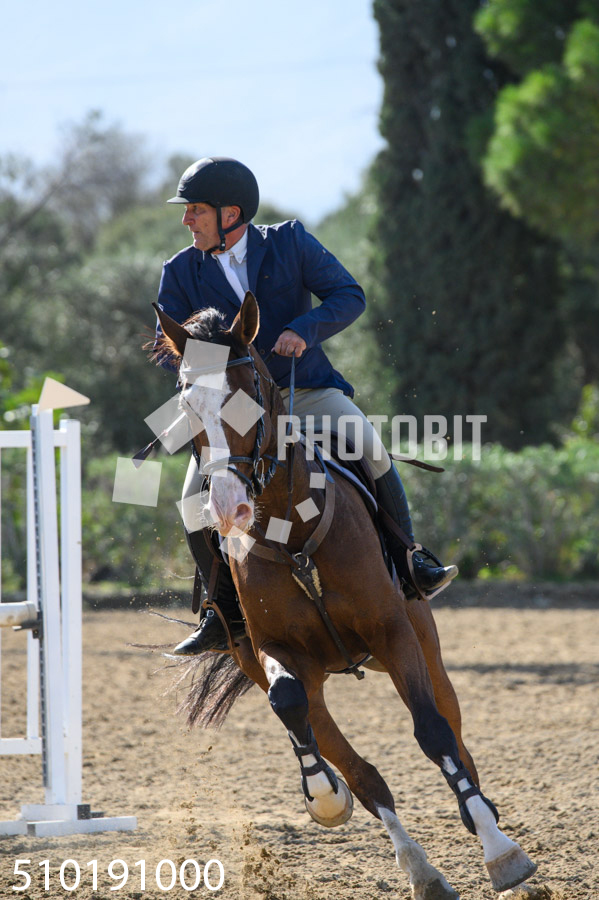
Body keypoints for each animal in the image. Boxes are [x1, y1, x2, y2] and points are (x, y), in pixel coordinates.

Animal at [153, 293, 537, 899]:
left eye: (251, 393)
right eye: (188, 405)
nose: (228, 508)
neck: (291, 534)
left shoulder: (393, 632)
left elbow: (433, 733)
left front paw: (501, 851)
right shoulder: (275, 652)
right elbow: (294, 709)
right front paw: (324, 796)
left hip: (421, 646)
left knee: (453, 730)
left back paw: (483, 821)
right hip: (287, 666)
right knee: (352, 763)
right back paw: (420, 870)